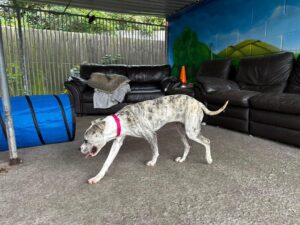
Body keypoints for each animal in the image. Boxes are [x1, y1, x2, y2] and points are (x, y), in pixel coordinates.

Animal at [79, 94, 227, 184]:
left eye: (86, 140)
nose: (80, 149)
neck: (120, 120)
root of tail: (198, 102)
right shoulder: (117, 142)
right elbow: (106, 162)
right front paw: (96, 178)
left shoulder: (151, 134)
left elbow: (155, 151)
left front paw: (152, 162)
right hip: (180, 129)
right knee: (188, 146)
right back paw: (182, 159)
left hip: (191, 132)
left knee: (207, 141)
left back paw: (208, 159)